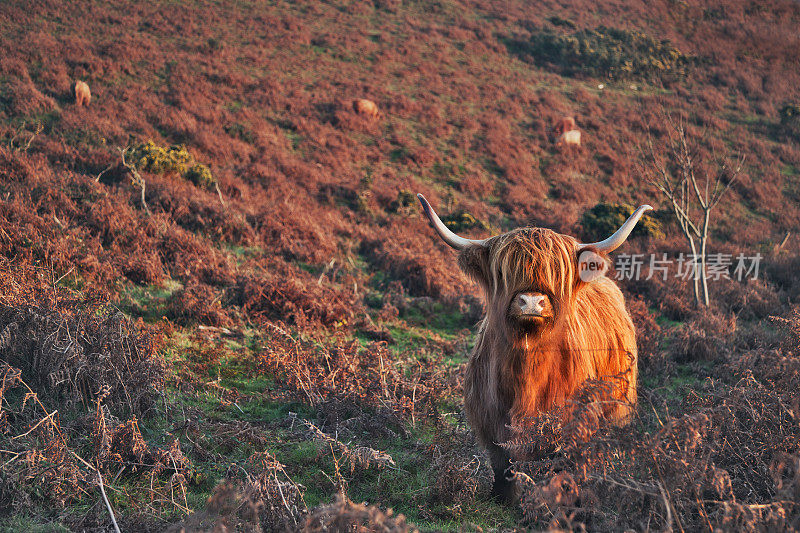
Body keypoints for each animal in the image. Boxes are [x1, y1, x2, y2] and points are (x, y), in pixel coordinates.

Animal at [418, 193, 648, 500]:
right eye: (503, 272)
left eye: (556, 273)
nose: (530, 302)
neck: (525, 369)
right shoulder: (490, 421)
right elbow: (502, 465)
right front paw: (502, 498)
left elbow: (562, 466)